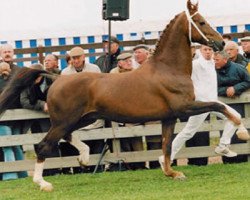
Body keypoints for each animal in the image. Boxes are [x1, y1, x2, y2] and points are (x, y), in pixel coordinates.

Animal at [0, 0, 246, 191]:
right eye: (202, 22)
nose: (221, 43)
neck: (168, 69)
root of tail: (55, 77)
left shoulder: (169, 117)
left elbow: (167, 145)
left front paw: (172, 173)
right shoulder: (185, 107)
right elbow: (219, 106)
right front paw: (240, 133)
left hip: (81, 118)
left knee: (66, 137)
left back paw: (84, 157)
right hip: (66, 120)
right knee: (43, 145)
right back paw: (43, 183)